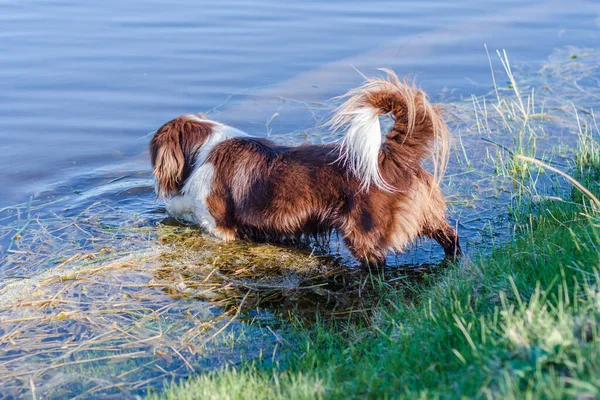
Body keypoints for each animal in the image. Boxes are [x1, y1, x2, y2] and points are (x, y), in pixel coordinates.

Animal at [150, 70, 460, 268]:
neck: (205, 148)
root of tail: (388, 156)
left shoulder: (218, 225)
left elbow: (185, 207)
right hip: (429, 217)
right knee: (451, 238)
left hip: (363, 232)